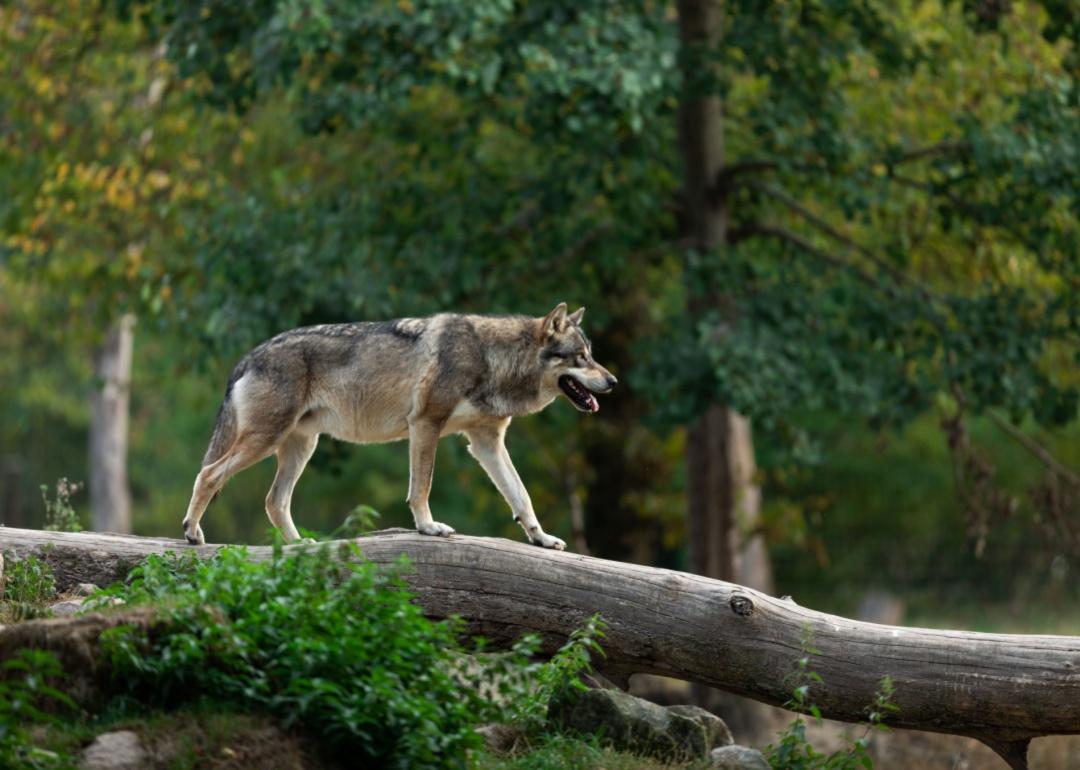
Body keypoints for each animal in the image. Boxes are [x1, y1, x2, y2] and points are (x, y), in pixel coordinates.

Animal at [183, 302, 617, 548]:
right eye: (580, 357)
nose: (613, 381)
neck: (494, 358)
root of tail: (248, 356)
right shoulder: (425, 424)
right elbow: (421, 487)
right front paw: (428, 528)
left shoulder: (486, 443)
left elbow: (521, 496)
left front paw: (541, 538)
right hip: (265, 441)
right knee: (208, 474)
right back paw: (192, 533)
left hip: (301, 447)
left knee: (274, 501)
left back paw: (298, 545)